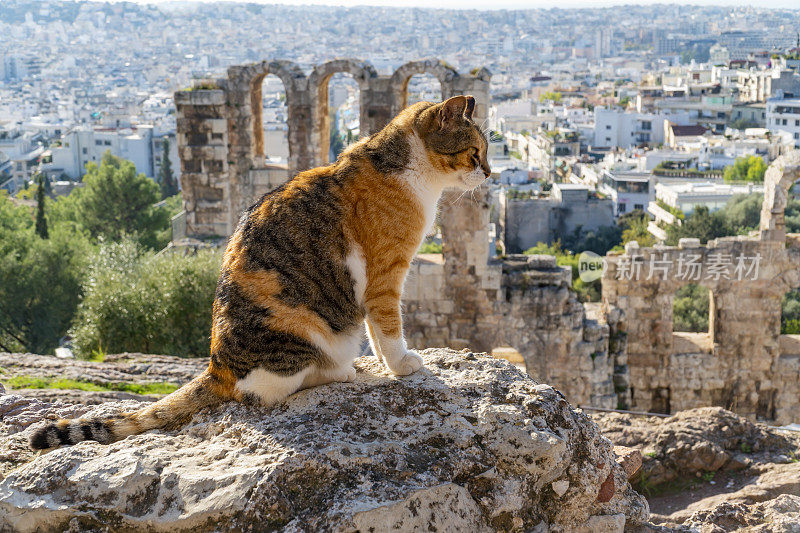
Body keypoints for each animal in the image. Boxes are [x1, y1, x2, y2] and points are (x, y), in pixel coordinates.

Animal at [29, 96, 488, 448]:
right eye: (475, 152)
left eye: (486, 152)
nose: (489, 173)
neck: (406, 169)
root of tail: (216, 366)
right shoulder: (385, 273)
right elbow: (390, 325)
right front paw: (402, 364)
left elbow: (376, 330)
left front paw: (386, 359)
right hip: (298, 327)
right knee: (268, 389)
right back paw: (338, 371)